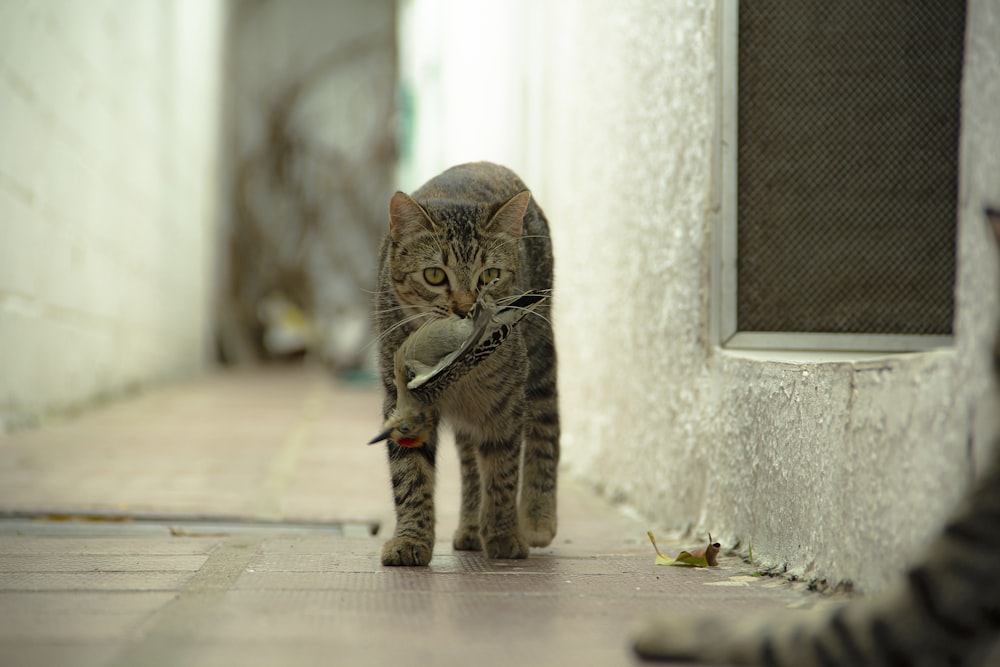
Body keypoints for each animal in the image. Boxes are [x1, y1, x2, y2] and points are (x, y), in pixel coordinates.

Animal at [376, 162, 564, 564]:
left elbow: (502, 469)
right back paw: (470, 527)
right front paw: (411, 539)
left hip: (540, 356)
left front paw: (504, 532)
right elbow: (410, 474)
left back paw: (537, 517)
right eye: (434, 275)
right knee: (468, 457)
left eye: (490, 276)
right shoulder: (401, 401)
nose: (466, 308)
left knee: (546, 425)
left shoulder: (506, 401)